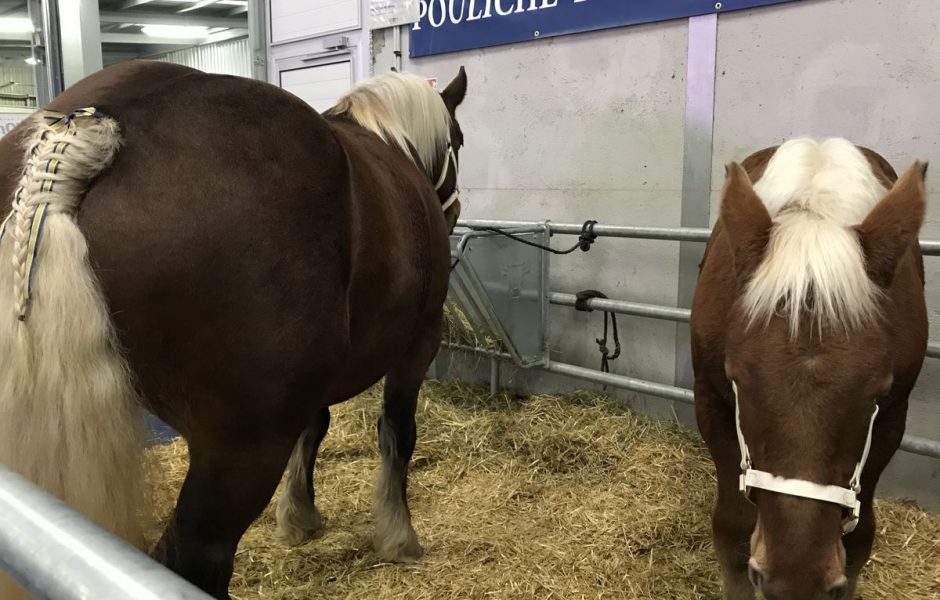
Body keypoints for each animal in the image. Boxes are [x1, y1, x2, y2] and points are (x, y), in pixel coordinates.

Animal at [0, 62, 468, 600]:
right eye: (458, 139)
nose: (454, 215)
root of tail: (84, 133)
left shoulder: (311, 384)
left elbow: (315, 427)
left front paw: (299, 516)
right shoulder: (419, 343)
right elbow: (397, 432)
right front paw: (398, 536)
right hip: (241, 453)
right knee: (195, 560)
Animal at [692, 138, 928, 600]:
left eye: (878, 392)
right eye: (737, 378)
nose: (796, 578)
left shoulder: (892, 419)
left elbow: (858, 540)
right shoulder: (711, 402)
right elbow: (731, 529)